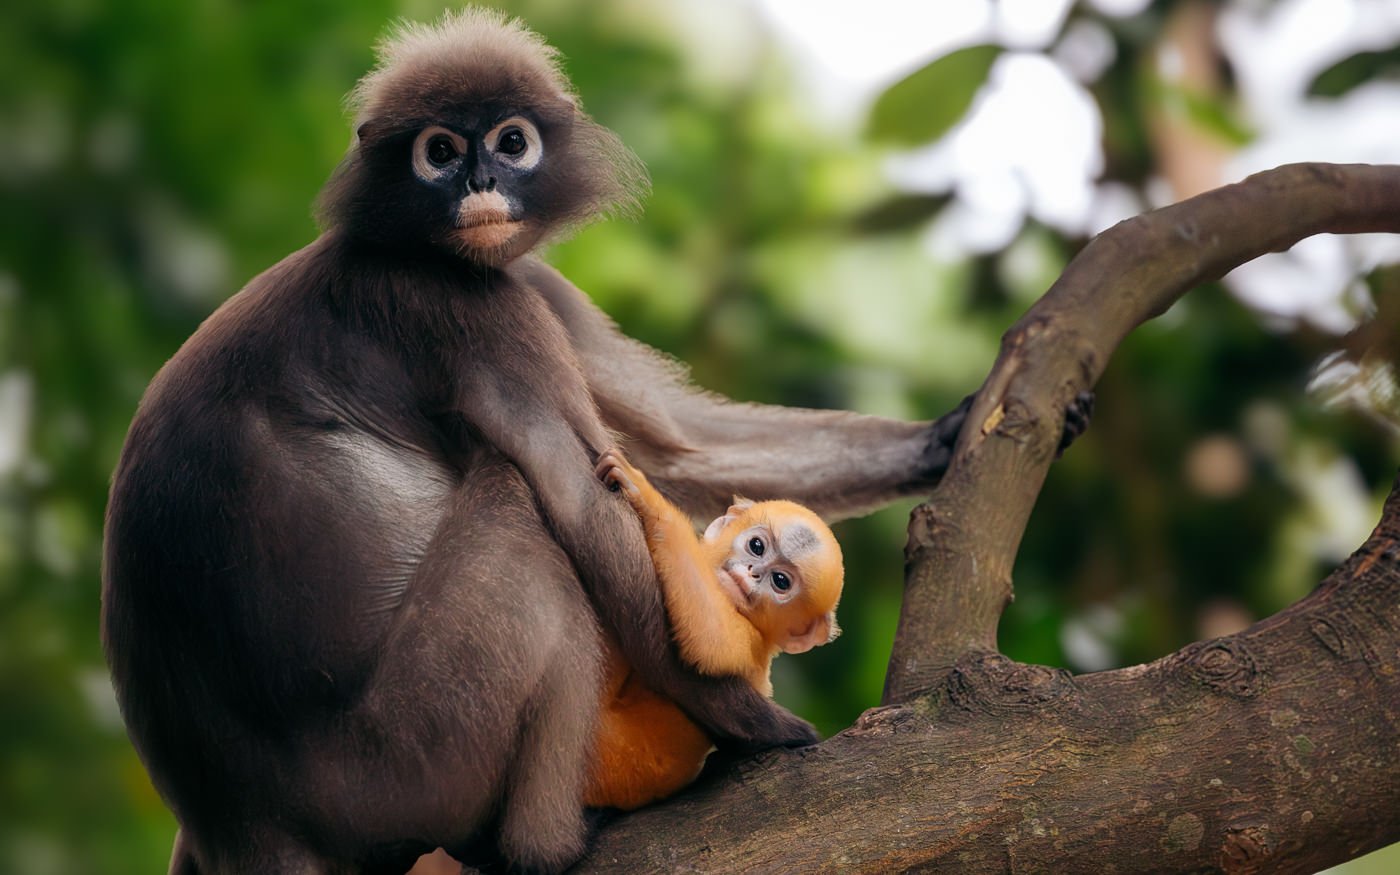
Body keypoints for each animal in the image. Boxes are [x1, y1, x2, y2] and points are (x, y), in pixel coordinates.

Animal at [582, 448, 840, 806]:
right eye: (756, 546)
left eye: (780, 581)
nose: (751, 573)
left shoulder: (752, 646)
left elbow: (710, 641)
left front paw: (647, 497)